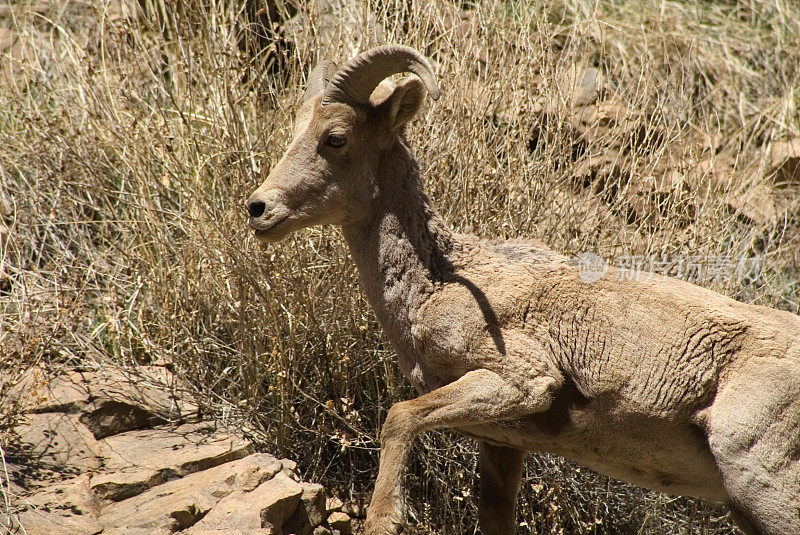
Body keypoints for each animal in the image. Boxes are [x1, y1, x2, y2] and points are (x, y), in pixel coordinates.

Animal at [247, 46, 800, 535]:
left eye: (336, 138)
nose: (258, 208)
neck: (436, 284)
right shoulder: (501, 442)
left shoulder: (520, 381)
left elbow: (399, 419)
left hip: (764, 486)